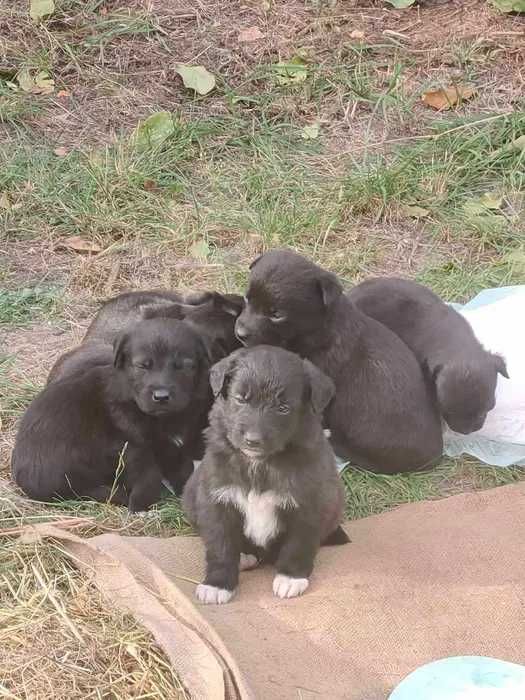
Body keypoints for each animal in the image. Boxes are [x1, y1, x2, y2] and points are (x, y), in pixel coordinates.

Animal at [11, 320, 212, 512]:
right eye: (142, 366)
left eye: (183, 367)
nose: (161, 396)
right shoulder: (129, 447)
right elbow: (148, 474)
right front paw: (140, 505)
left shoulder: (167, 443)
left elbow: (179, 465)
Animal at [181, 344, 348, 600]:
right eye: (240, 399)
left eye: (283, 408)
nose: (253, 440)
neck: (259, 464)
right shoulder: (217, 500)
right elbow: (220, 545)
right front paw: (217, 584)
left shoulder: (309, 504)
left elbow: (298, 543)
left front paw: (290, 578)